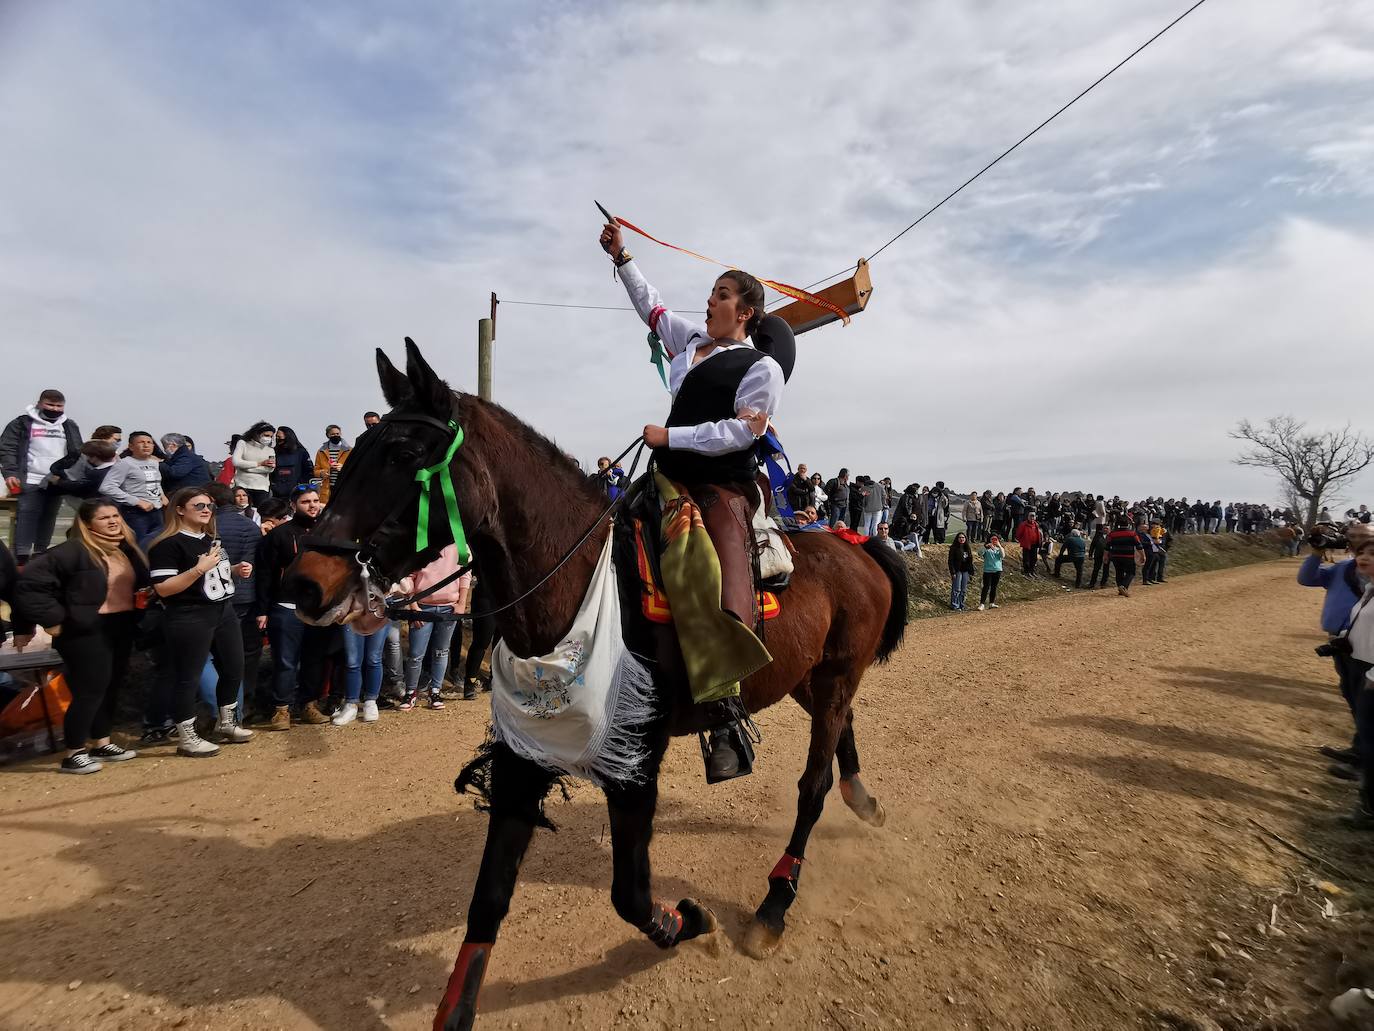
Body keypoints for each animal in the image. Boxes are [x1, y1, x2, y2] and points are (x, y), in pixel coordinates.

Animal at [284, 343, 906, 1028]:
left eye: (402, 454)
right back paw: (862, 799)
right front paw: (458, 1006)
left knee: (811, 786)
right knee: (841, 733)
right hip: (809, 678)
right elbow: (489, 898)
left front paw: (690, 920)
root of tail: (860, 547)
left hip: (836, 675)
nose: (306, 582)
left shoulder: (634, 760)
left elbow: (630, 894)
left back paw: (775, 903)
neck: (579, 582)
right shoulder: (524, 755)